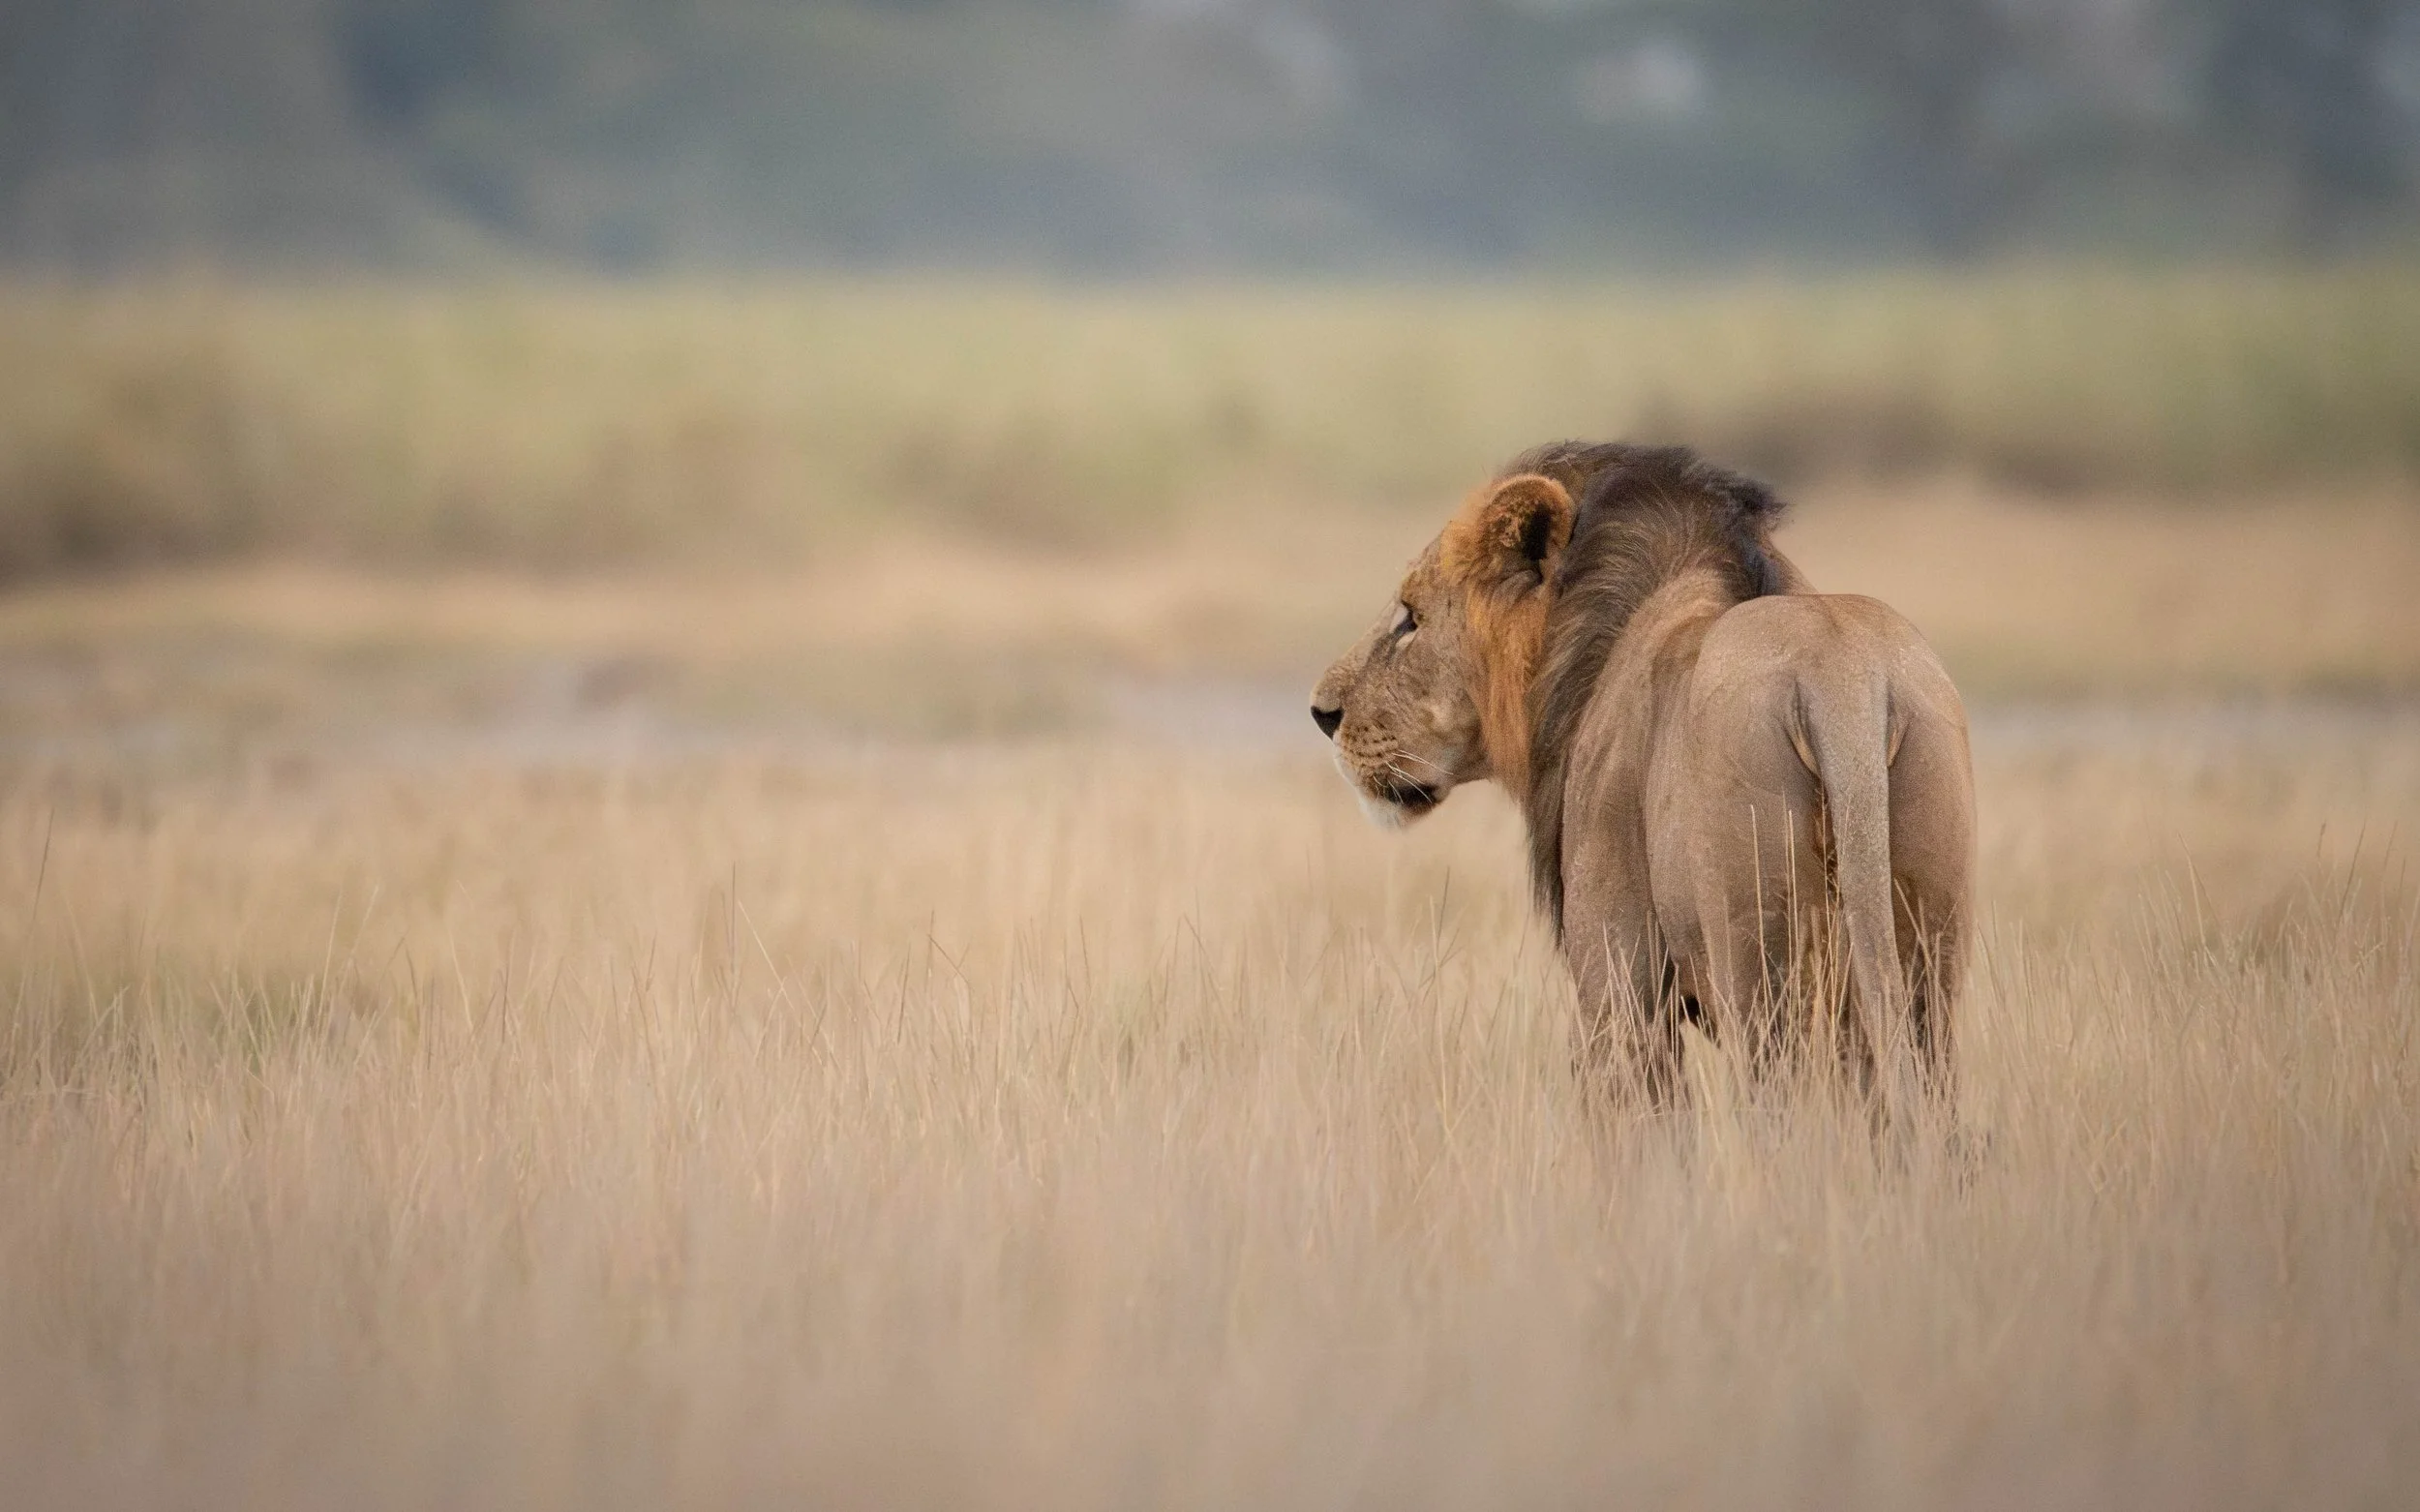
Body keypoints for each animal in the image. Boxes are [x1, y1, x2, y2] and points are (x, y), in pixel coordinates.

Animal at [1311, 442, 1974, 1121]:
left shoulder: (1619, 978)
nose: (1322, 713)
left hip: (1761, 969)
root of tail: (1839, 681)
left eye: (1411, 619)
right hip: (1924, 960)